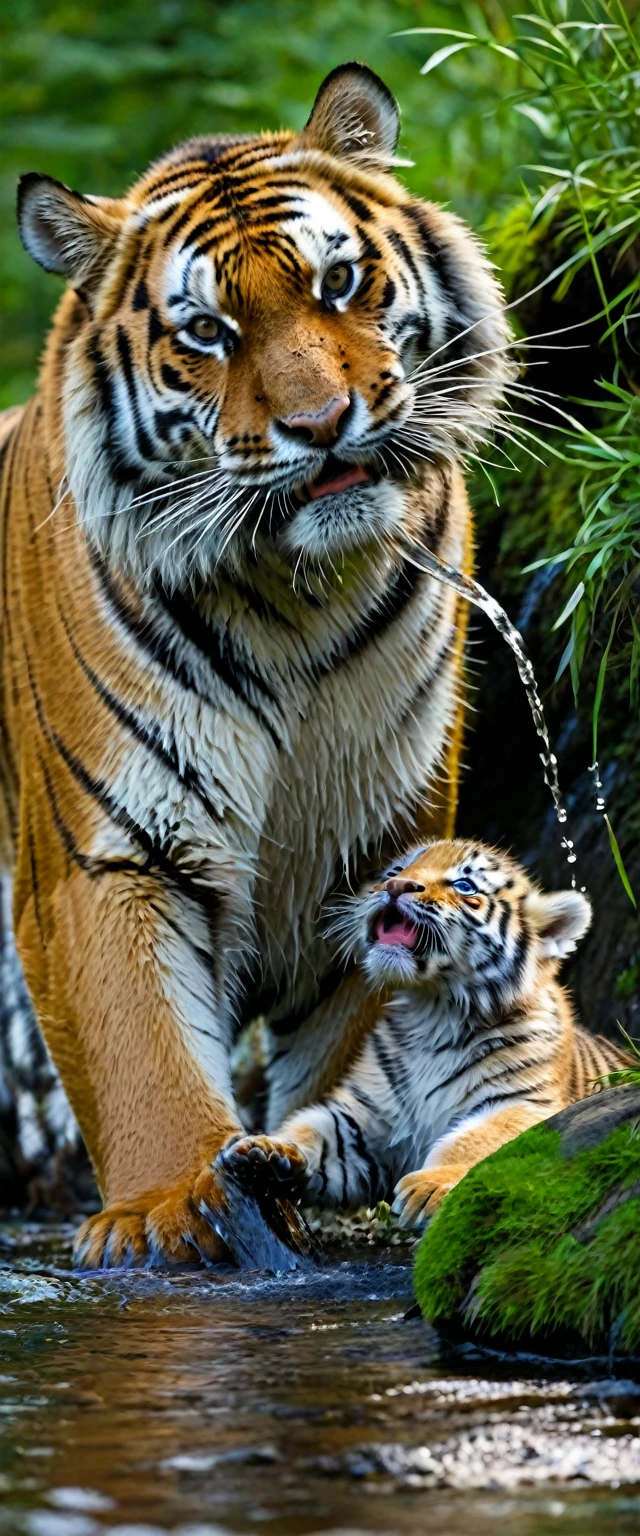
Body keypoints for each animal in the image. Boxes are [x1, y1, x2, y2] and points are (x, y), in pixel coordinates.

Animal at [0, 62, 509, 1259]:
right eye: (207, 331)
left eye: (338, 281)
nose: (322, 425)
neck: (295, 605)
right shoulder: (106, 851)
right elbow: (140, 1049)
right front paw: (166, 1211)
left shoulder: (383, 840)